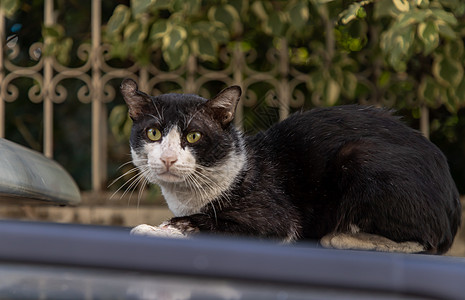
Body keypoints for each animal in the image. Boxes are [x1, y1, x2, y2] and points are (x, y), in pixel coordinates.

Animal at [120, 78, 460, 254]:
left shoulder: (276, 220)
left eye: (193, 136)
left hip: (360, 156)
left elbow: (206, 224)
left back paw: (337, 236)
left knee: (425, 243)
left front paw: (153, 228)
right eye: (153, 133)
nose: (168, 158)